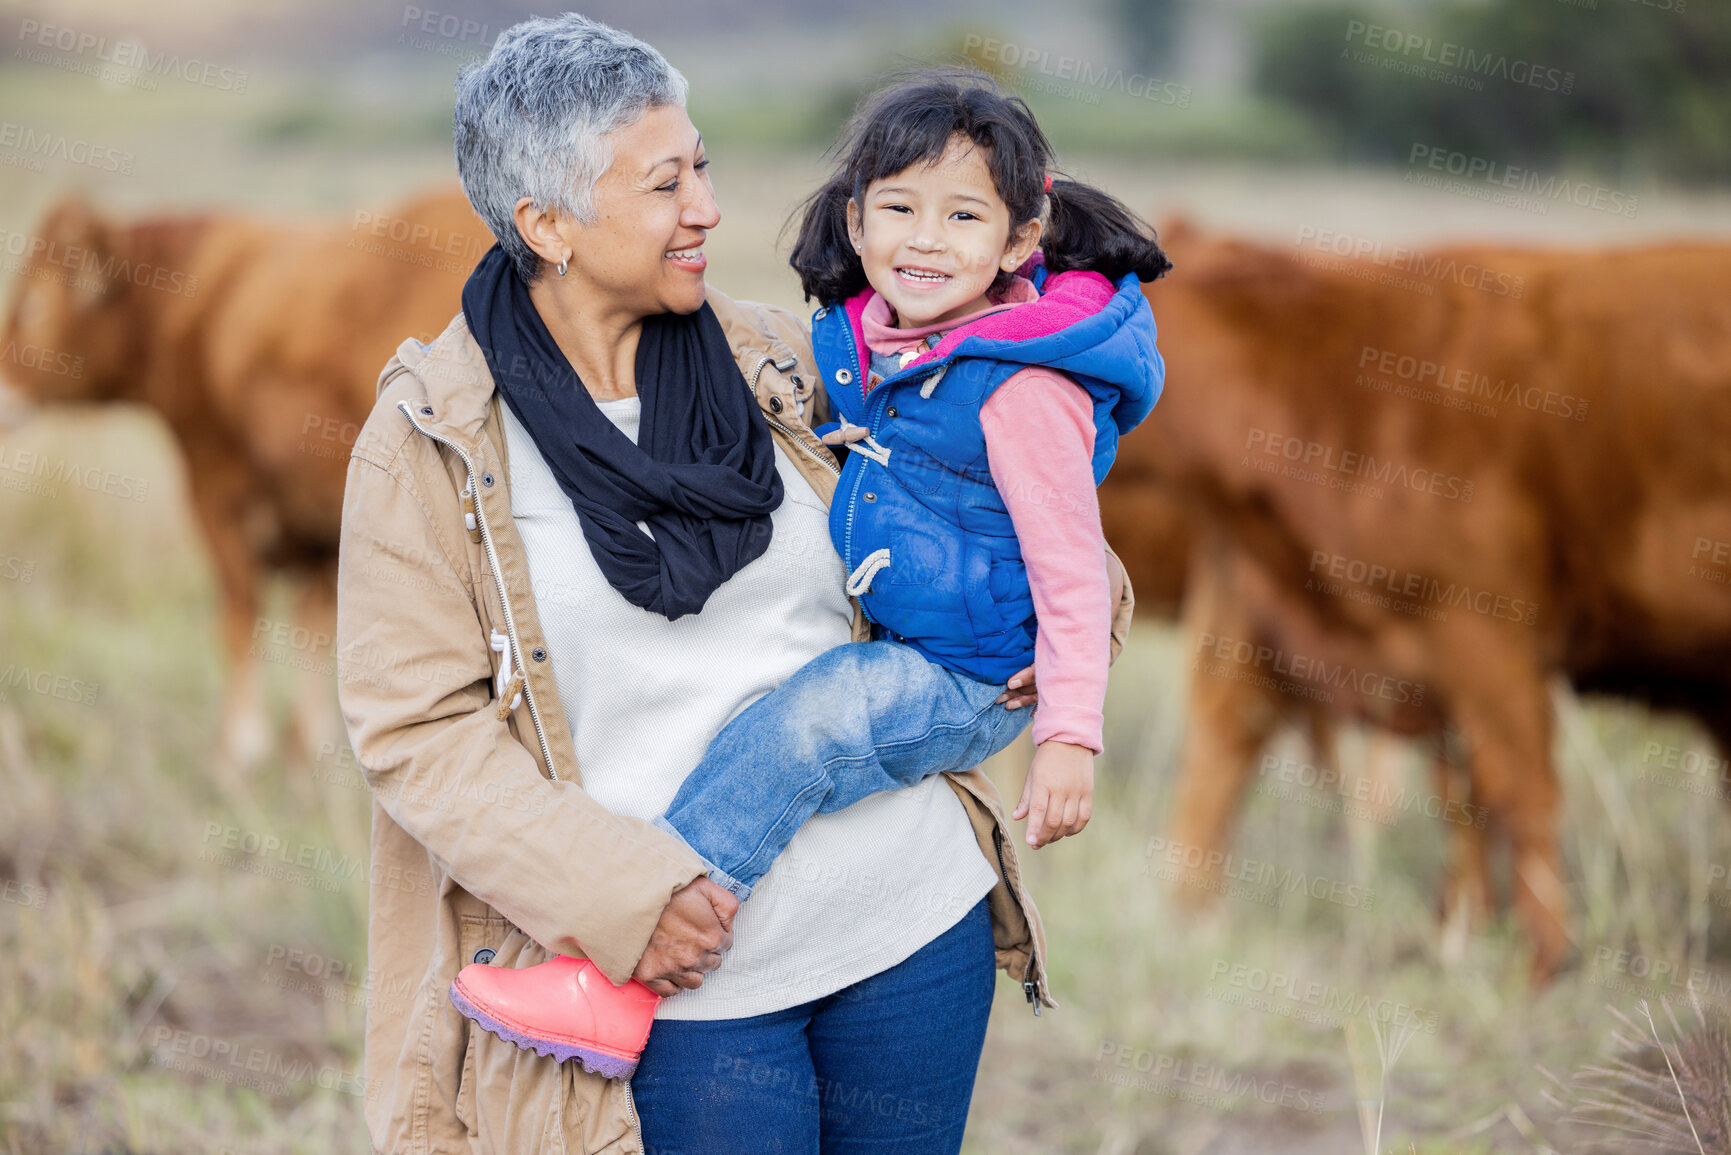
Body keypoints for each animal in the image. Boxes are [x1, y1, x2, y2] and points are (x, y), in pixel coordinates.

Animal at [1, 187, 488, 768]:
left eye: (32, 305)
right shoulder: (317, 518)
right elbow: (313, 627)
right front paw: (304, 749)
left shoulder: (216, 487)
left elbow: (240, 615)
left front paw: (238, 748)